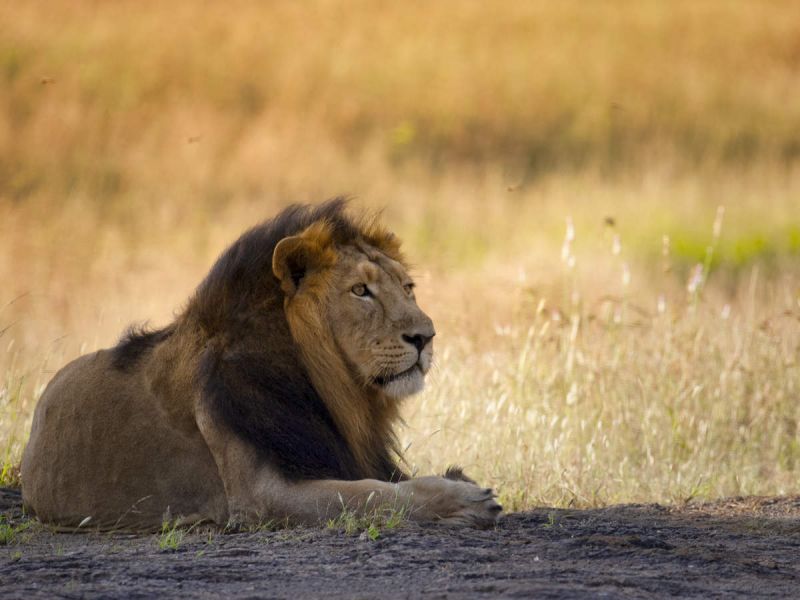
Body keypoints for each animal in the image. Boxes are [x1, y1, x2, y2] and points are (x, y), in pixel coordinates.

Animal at [21, 199, 501, 530]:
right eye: (360, 291)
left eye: (407, 287)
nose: (426, 336)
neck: (327, 385)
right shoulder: (261, 497)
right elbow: (373, 495)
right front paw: (464, 499)